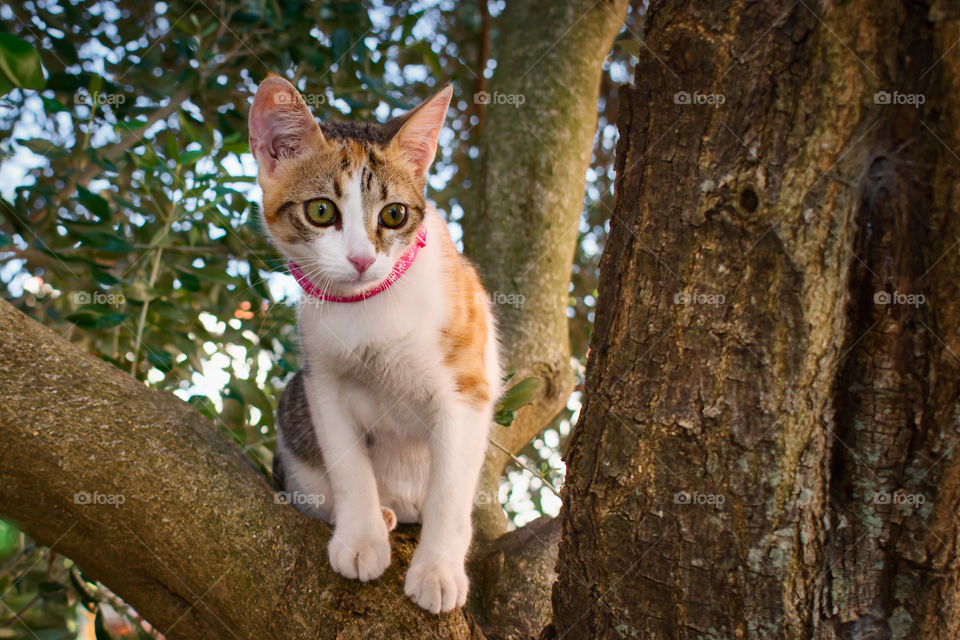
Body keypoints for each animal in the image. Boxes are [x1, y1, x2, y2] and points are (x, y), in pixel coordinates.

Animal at [248, 76, 502, 616]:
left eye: (395, 214)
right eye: (321, 211)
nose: (363, 259)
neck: (370, 304)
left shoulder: (467, 387)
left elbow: (451, 488)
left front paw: (438, 570)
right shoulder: (321, 380)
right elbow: (347, 464)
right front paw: (361, 538)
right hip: (293, 405)